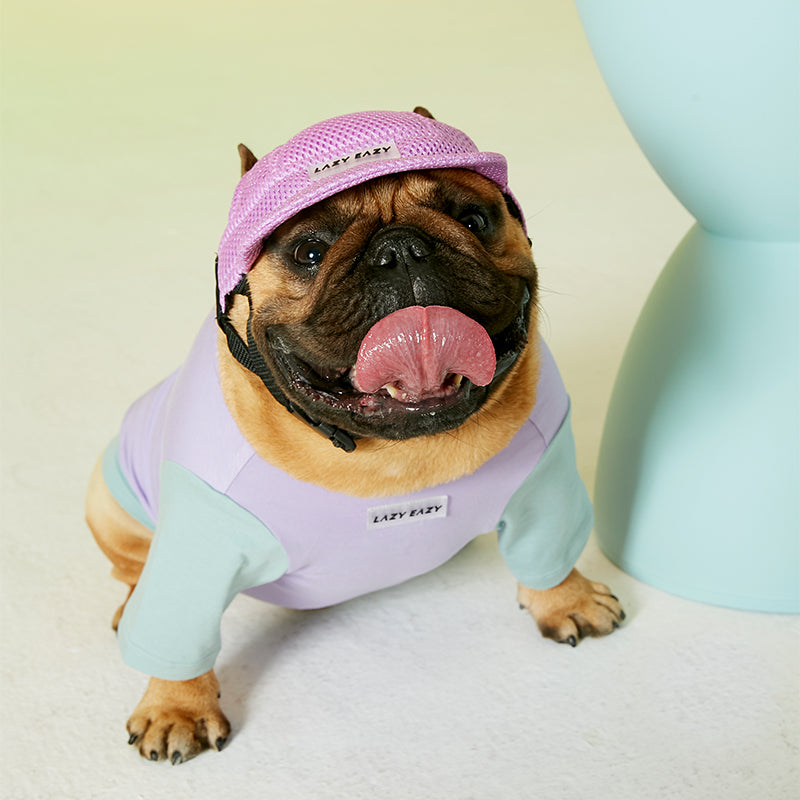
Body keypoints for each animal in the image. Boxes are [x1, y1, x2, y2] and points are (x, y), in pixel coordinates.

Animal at [86, 108, 624, 764]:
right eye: (309, 251)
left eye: (475, 219)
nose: (402, 249)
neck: (391, 455)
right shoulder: (199, 538)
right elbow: (176, 625)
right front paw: (175, 707)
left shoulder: (545, 484)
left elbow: (549, 550)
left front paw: (567, 599)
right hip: (111, 505)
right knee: (133, 568)